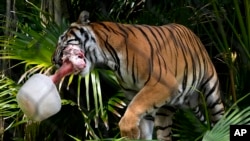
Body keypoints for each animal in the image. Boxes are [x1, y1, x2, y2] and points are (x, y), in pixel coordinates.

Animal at [52, 10, 225, 140]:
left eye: (63, 39)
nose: (53, 60)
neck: (109, 58)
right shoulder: (135, 94)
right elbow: (140, 118)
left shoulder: (162, 83)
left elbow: (134, 109)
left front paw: (128, 131)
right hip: (165, 111)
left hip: (212, 92)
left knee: (220, 119)